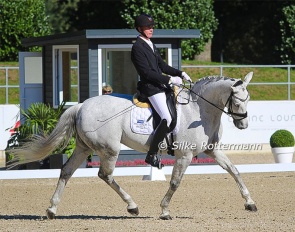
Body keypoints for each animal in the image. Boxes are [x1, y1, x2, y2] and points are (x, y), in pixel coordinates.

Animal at [8, 72, 258, 219]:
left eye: (248, 100)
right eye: (237, 101)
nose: (243, 124)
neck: (198, 109)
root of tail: (80, 106)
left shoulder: (212, 150)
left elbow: (234, 171)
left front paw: (250, 203)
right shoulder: (184, 155)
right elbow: (175, 182)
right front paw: (164, 210)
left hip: (83, 147)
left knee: (66, 171)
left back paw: (52, 209)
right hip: (110, 149)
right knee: (105, 175)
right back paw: (132, 206)